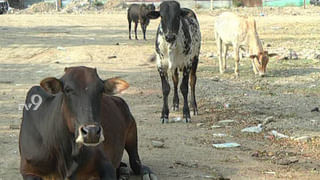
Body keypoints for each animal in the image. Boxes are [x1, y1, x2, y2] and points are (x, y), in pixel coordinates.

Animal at [18, 66, 156, 180]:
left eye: (100, 90)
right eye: (67, 89)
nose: (92, 132)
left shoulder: (106, 165)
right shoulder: (28, 170)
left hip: (132, 131)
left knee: (135, 161)